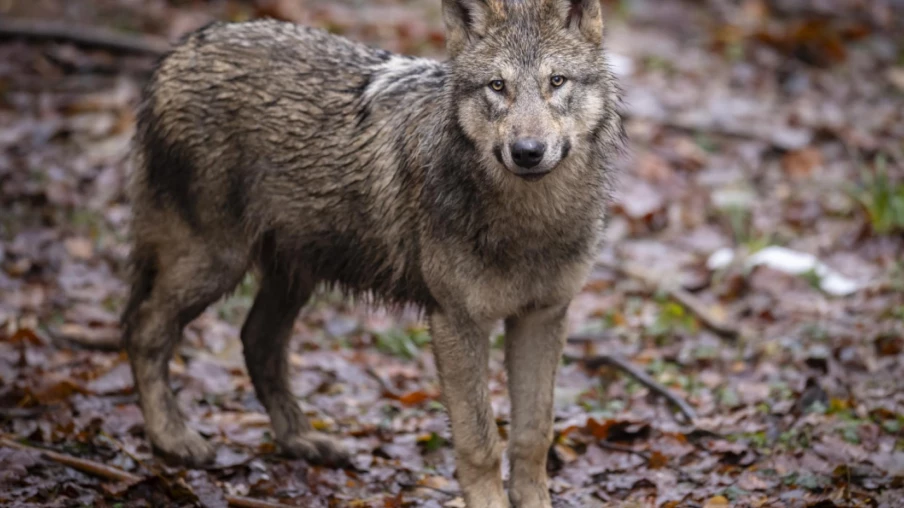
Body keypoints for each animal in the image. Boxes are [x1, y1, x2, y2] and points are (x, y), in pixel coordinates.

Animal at [122, 0, 622, 505]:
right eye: (497, 86)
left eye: (556, 81)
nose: (527, 151)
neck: (530, 224)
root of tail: (178, 51)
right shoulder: (456, 321)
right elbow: (480, 441)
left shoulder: (543, 316)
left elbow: (533, 434)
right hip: (214, 264)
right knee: (144, 331)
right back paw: (173, 439)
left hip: (294, 273)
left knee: (257, 342)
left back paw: (302, 440)